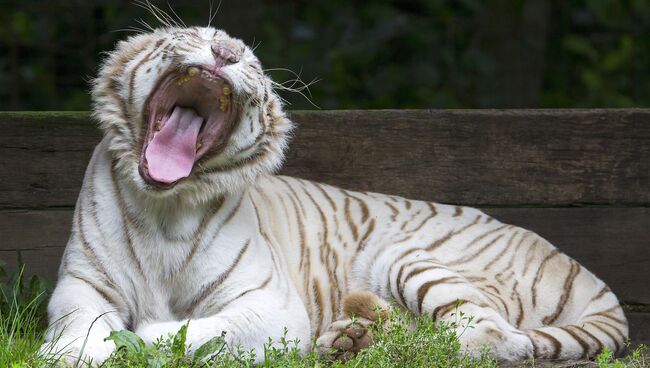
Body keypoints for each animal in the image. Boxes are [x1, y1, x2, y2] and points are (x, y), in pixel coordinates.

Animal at [43, 26, 624, 366]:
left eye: (250, 63)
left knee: (491, 341)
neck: (167, 202)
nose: (225, 52)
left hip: (407, 256)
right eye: (195, 35)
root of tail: (591, 278)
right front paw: (69, 352)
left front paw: (134, 341)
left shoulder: (271, 306)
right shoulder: (81, 285)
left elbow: (184, 333)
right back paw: (352, 337)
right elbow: (78, 329)